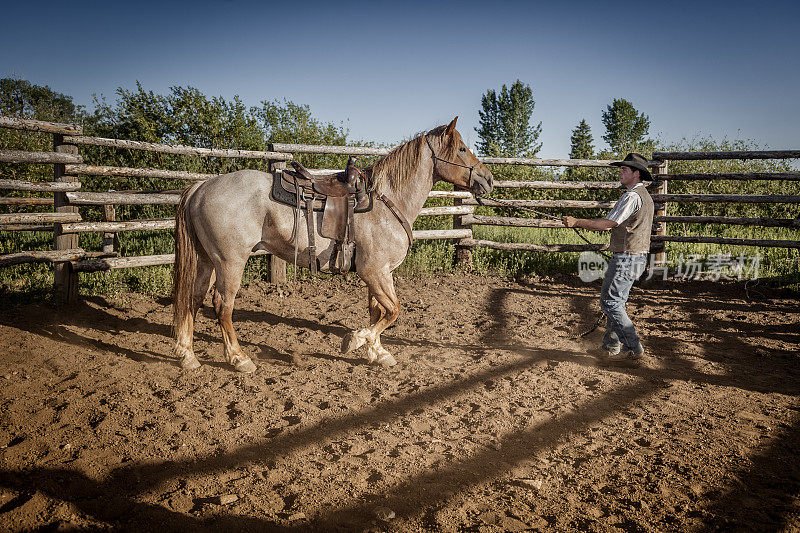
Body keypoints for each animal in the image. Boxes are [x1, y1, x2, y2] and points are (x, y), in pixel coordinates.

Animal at [172, 118, 490, 372]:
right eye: (462, 149)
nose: (487, 179)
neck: (387, 201)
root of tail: (202, 186)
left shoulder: (379, 273)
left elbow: (378, 311)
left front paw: (377, 353)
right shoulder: (374, 271)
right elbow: (393, 311)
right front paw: (356, 340)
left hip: (206, 260)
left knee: (193, 299)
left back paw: (187, 356)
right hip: (230, 262)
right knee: (222, 305)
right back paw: (239, 359)